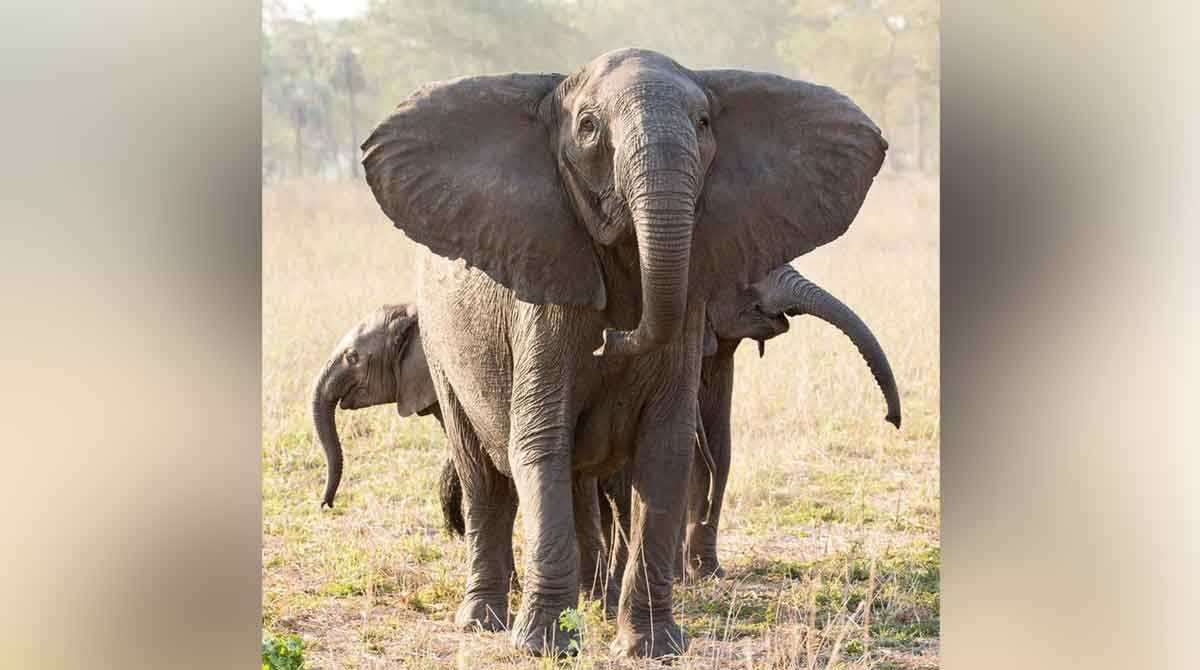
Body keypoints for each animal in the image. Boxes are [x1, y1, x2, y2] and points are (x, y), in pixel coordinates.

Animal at [360, 48, 886, 657]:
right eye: (588, 127)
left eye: (703, 124)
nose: (612, 338)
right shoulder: (542, 304)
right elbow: (540, 441)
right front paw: (543, 648)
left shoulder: (689, 313)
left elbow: (667, 451)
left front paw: (651, 648)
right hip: (441, 350)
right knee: (485, 482)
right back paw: (483, 621)